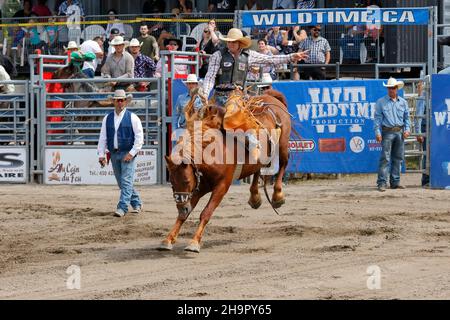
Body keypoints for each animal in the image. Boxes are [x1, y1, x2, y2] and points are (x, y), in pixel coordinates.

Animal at [159, 88, 292, 252]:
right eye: (171, 183)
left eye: (186, 181)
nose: (181, 207)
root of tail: (271, 97)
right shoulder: (199, 187)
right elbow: (185, 215)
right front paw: (168, 239)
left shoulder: (222, 186)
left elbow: (206, 212)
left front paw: (194, 242)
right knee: (257, 170)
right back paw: (255, 197)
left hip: (282, 146)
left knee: (283, 164)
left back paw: (278, 196)